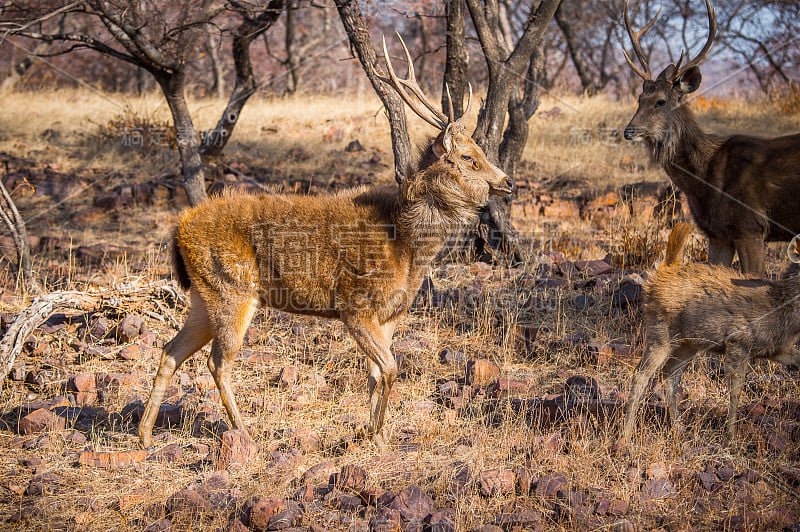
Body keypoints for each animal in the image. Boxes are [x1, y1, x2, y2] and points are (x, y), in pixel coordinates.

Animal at [137, 34, 512, 448]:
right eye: (469, 157)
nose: (508, 181)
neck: (406, 247)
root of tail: (179, 228)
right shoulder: (355, 305)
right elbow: (390, 369)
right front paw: (376, 434)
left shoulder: (390, 314)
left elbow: (375, 373)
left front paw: (377, 436)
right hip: (231, 288)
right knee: (217, 361)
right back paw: (244, 432)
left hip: (204, 297)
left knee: (171, 350)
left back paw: (145, 434)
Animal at [620, 222, 800, 442]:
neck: (780, 310)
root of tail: (662, 271)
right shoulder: (738, 343)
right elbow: (736, 390)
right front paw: (732, 436)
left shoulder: (778, 349)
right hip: (660, 330)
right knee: (641, 374)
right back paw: (626, 435)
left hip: (689, 343)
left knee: (669, 373)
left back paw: (678, 427)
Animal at [624, 0, 800, 274]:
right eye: (639, 99)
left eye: (661, 101)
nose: (629, 131)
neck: (705, 179)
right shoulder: (717, 234)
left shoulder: (750, 225)